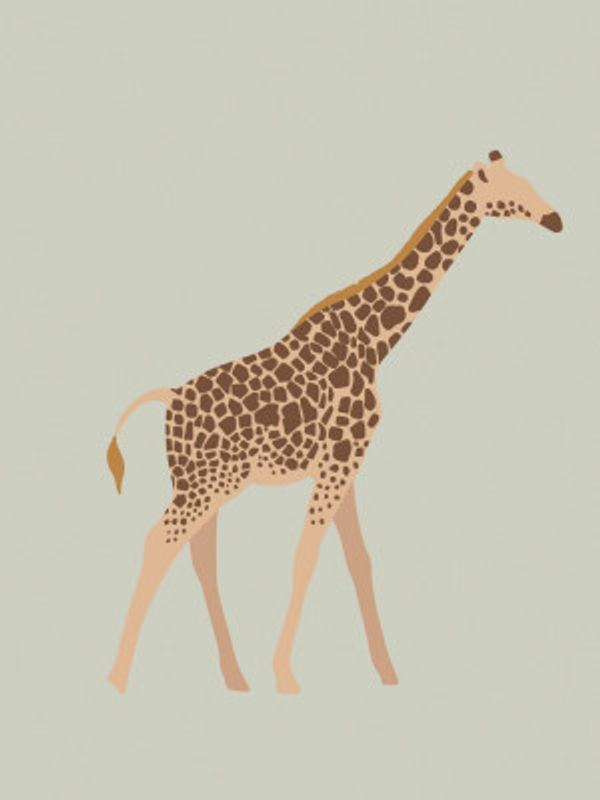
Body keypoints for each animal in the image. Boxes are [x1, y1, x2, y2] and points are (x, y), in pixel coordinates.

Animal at [106, 150, 562, 695]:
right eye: (514, 187)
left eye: (530, 180)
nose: (556, 219)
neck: (375, 340)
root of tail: (170, 397)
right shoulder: (339, 461)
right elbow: (307, 556)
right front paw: (285, 675)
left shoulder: (346, 462)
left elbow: (359, 561)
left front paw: (387, 673)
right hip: (204, 484)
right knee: (160, 542)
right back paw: (118, 677)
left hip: (207, 483)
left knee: (200, 559)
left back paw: (234, 678)